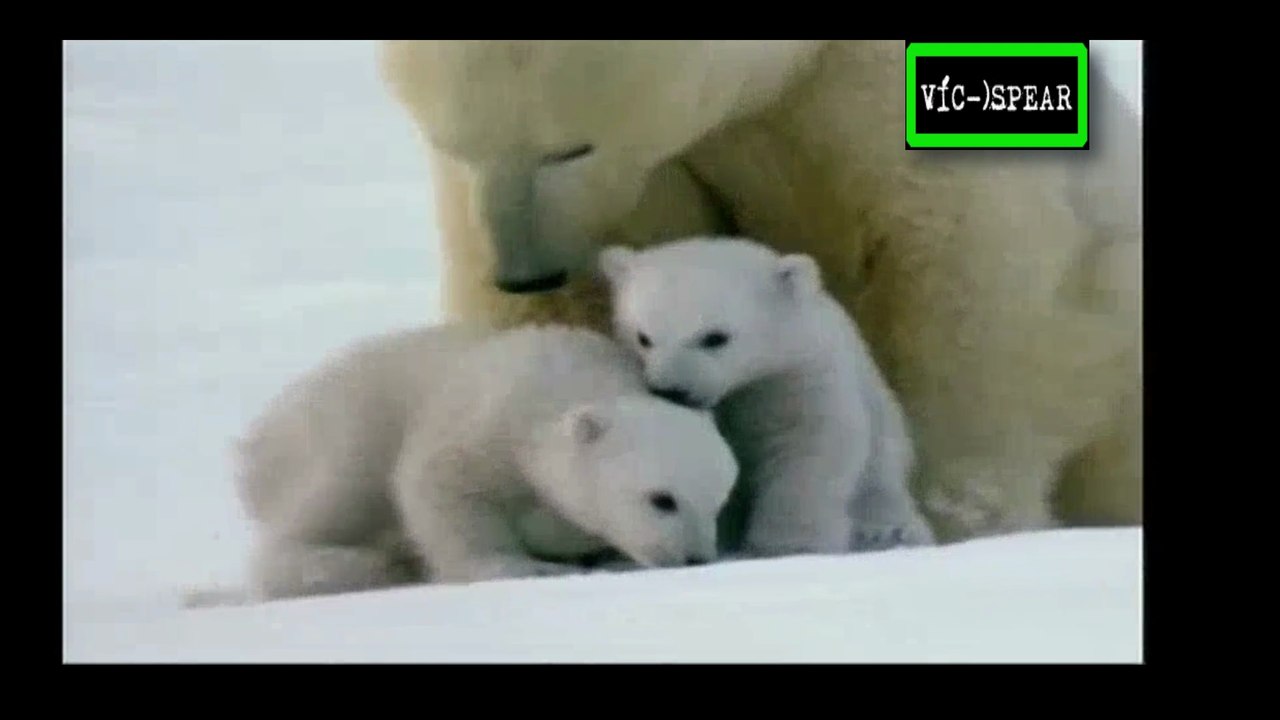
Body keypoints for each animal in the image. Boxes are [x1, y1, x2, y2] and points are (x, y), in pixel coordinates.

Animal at [233, 323, 739, 601]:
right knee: (330, 497)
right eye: (662, 499)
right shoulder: (486, 424)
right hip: (346, 426)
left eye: (717, 504)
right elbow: (440, 487)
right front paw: (524, 567)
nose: (695, 559)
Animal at [599, 236, 934, 558]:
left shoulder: (795, 378)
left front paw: (788, 544)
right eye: (643, 338)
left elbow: (808, 444)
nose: (672, 391)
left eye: (715, 337)